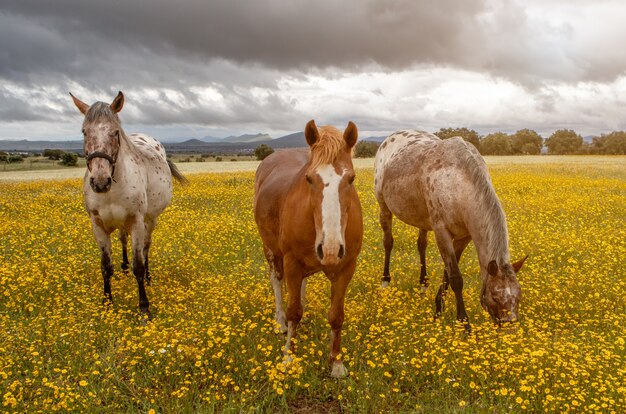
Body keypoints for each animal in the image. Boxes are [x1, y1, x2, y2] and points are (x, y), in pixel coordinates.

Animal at [252, 120, 364, 378]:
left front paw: (336, 362)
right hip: (271, 251)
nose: (331, 249)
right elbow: (293, 310)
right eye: (309, 179)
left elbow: (336, 315)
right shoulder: (292, 261)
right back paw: (280, 322)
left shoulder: (346, 267)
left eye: (351, 179)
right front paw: (288, 358)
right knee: (276, 281)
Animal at [372, 131, 524, 328]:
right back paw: (385, 283)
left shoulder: (464, 237)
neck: (458, 183)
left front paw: (438, 309)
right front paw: (463, 323)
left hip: (423, 220)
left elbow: (448, 272)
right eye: (495, 297)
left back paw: (423, 285)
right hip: (384, 207)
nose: (511, 329)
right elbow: (455, 278)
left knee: (421, 245)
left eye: (518, 297)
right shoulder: (442, 232)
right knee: (388, 242)